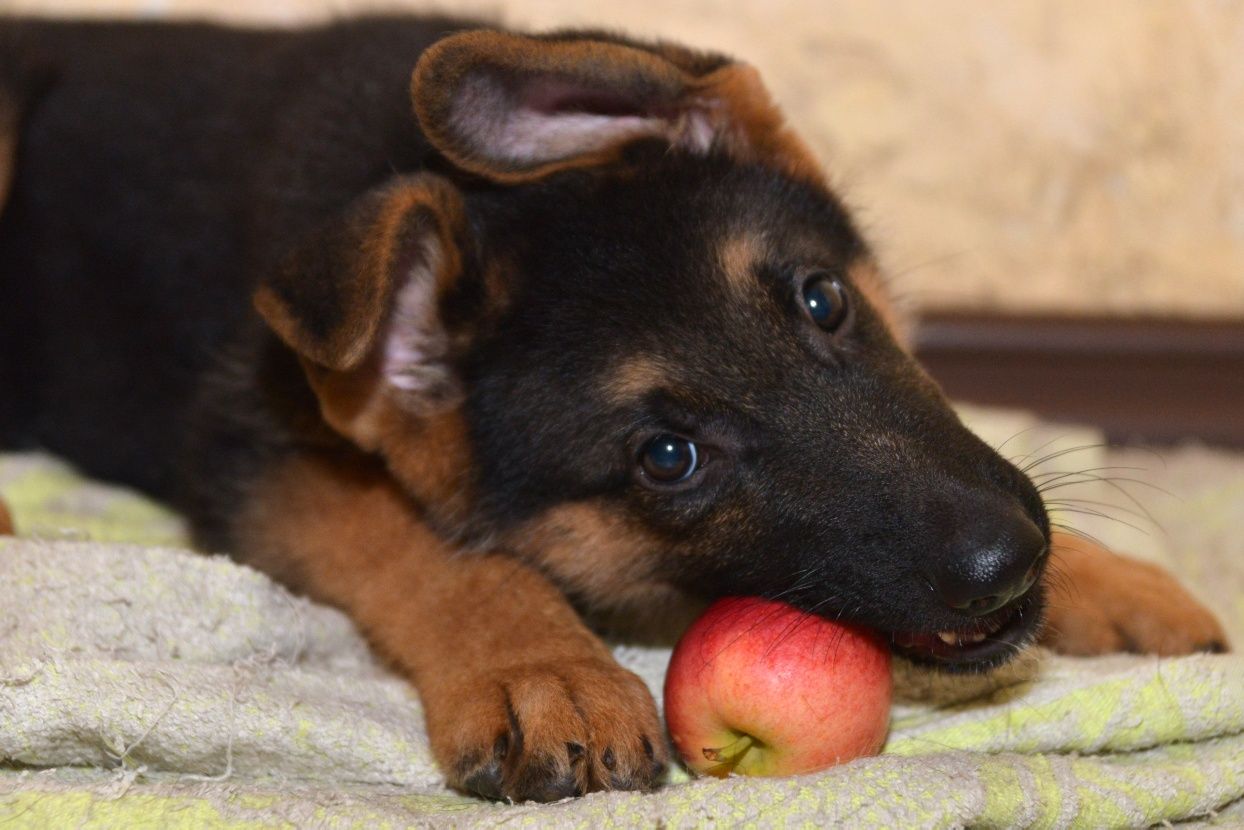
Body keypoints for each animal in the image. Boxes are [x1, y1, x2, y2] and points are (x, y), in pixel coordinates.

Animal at [0, 16, 1224, 801]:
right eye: (668, 457)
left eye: (823, 300)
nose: (1004, 562)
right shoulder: (252, 450)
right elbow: (431, 550)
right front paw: (547, 672)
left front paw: (1115, 583)